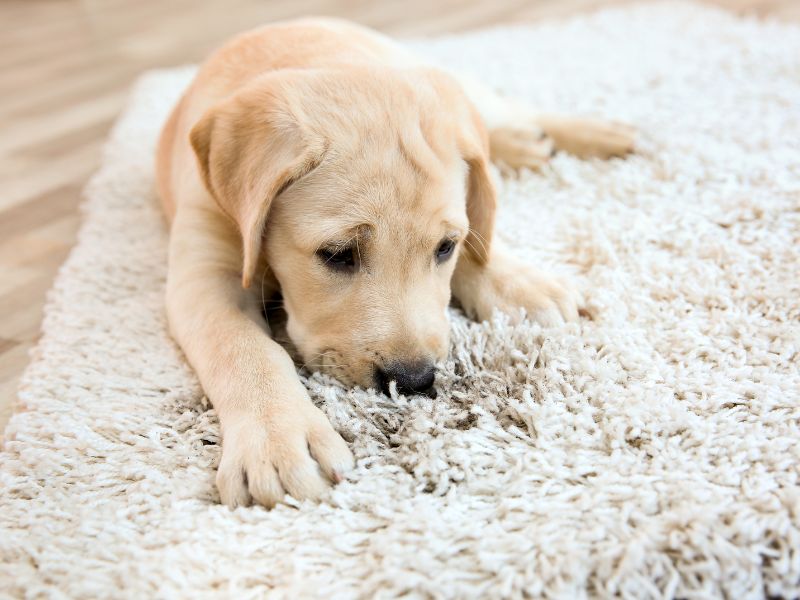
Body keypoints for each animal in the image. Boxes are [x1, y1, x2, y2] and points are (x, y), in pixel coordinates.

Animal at [155, 17, 632, 506]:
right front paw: (277, 440)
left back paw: (596, 134)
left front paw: (519, 283)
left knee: (500, 117)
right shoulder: (205, 273)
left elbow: (479, 226)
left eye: (445, 247)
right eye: (338, 254)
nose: (413, 381)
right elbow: (242, 348)